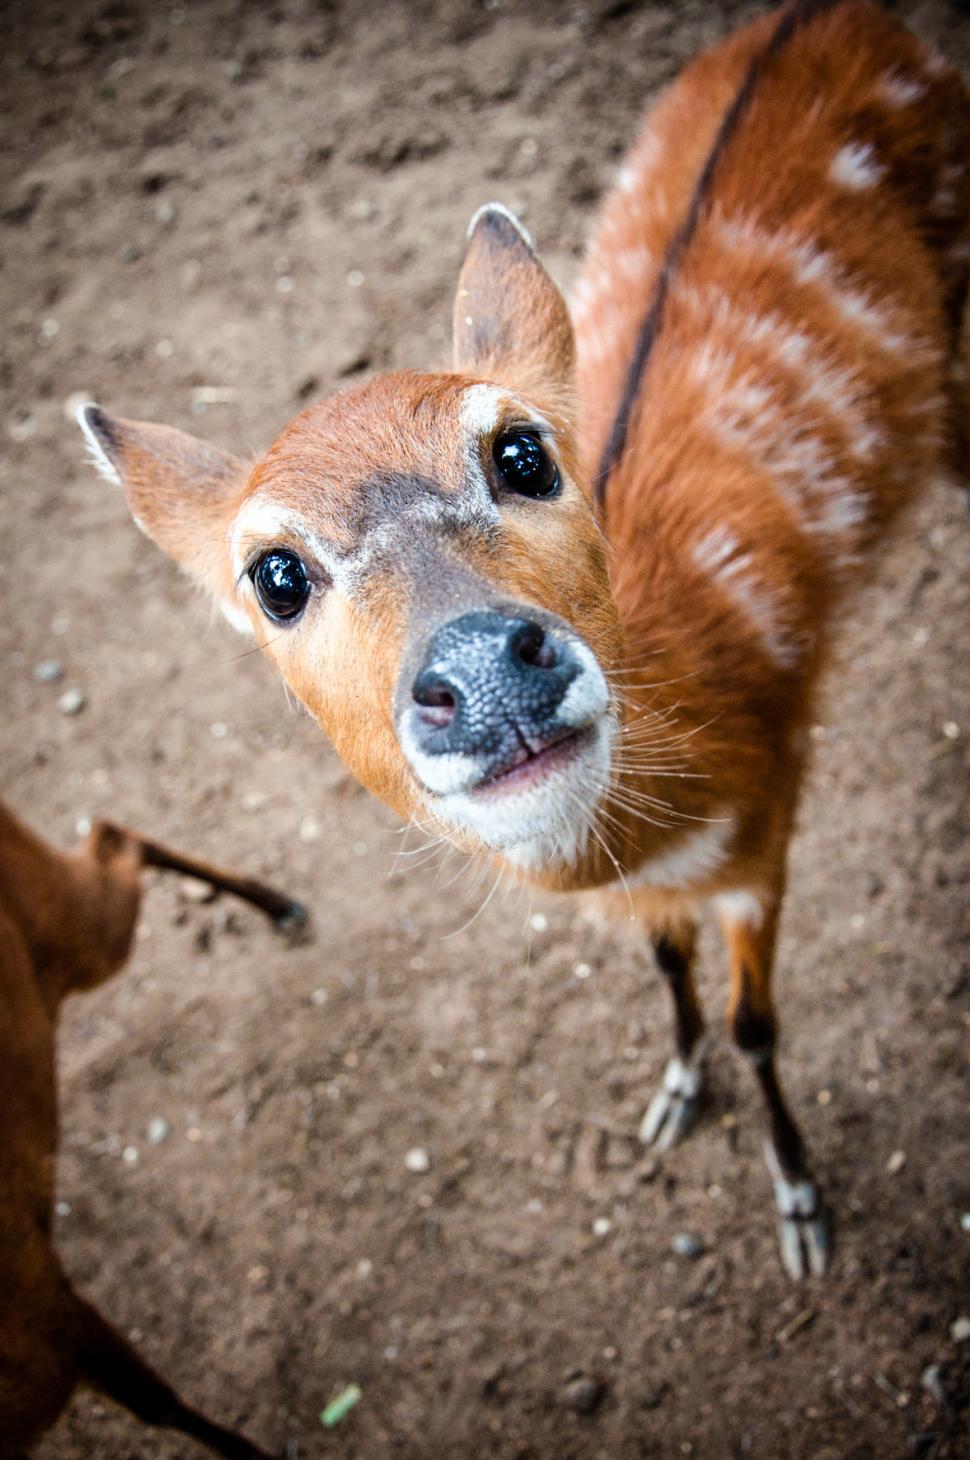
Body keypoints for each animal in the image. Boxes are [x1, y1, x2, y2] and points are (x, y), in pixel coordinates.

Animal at [75, 0, 969, 1281]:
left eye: (522, 450)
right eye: (275, 574)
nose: (485, 668)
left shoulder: (776, 809)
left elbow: (757, 1020)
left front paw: (801, 1201)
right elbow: (666, 966)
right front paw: (673, 1089)